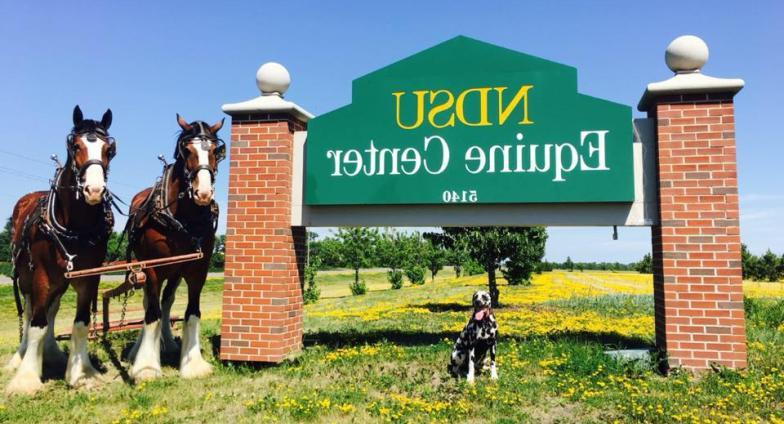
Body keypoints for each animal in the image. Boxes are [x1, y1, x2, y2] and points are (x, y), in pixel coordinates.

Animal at [5, 107, 116, 394]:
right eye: (75, 146)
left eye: (109, 149)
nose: (94, 190)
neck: (75, 226)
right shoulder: (42, 275)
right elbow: (36, 323)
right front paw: (26, 378)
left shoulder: (88, 277)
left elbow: (81, 323)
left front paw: (81, 372)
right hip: (27, 278)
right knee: (31, 312)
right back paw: (21, 358)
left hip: (59, 282)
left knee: (51, 310)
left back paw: (51, 353)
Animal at [125, 113, 224, 380]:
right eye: (186, 150)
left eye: (216, 150)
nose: (203, 193)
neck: (182, 218)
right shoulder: (152, 269)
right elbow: (152, 314)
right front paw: (146, 367)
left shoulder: (198, 269)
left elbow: (192, 312)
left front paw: (193, 364)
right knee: (150, 304)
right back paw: (139, 351)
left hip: (176, 272)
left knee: (167, 301)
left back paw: (168, 343)